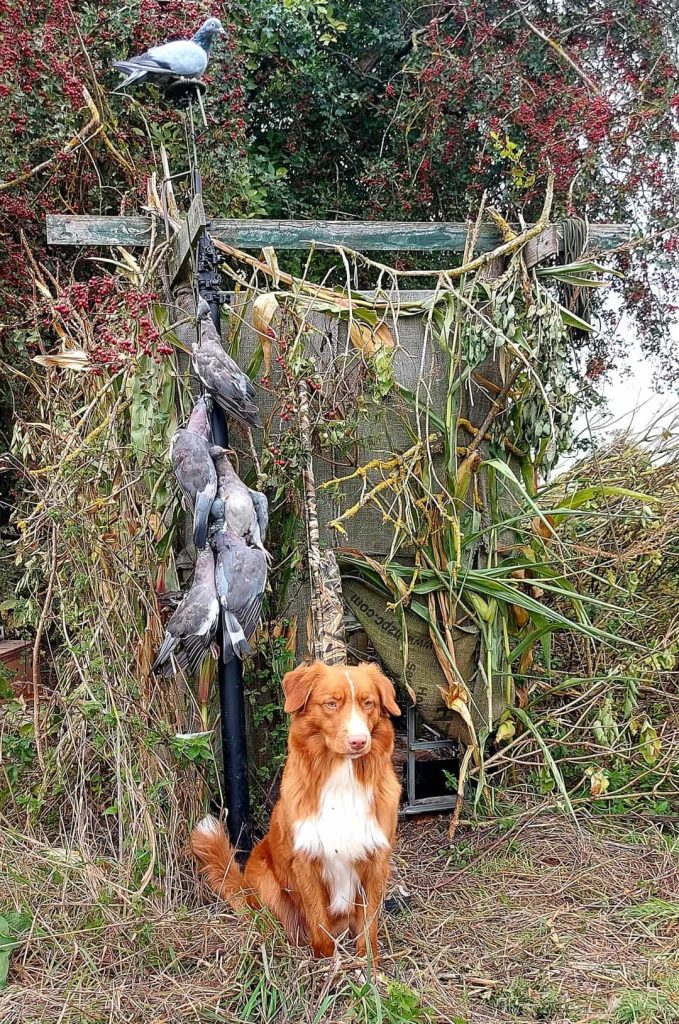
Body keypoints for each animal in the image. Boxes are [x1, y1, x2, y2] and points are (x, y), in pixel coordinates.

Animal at [191, 659, 401, 962]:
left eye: (368, 703)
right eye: (331, 703)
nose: (359, 741)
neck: (342, 781)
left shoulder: (377, 858)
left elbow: (369, 922)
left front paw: (367, 963)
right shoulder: (305, 860)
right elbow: (318, 923)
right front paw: (326, 964)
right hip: (264, 878)